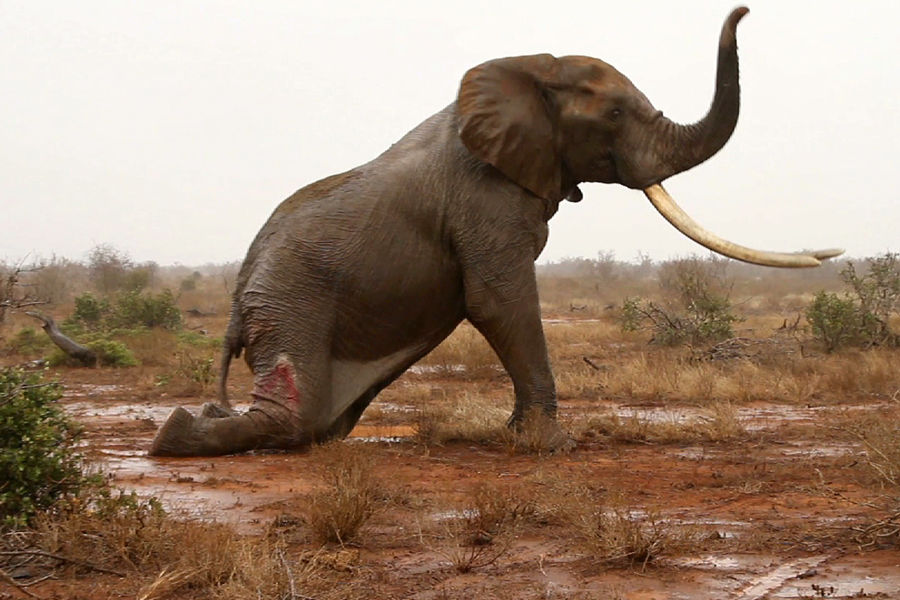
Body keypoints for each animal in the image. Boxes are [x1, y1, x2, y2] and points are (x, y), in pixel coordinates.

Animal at [149, 5, 844, 454]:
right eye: (615, 115)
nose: (745, 10)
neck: (532, 71)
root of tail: (237, 299)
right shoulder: (485, 197)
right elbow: (498, 300)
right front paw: (550, 447)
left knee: (316, 420)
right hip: (292, 300)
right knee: (295, 413)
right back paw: (175, 433)